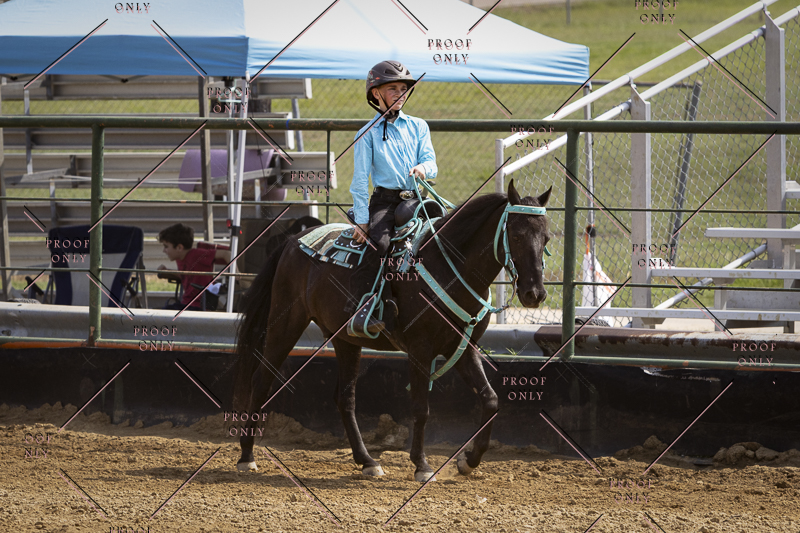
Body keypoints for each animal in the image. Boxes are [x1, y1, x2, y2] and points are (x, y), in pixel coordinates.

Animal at [232, 179, 552, 482]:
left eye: (547, 237)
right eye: (517, 235)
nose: (534, 293)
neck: (449, 267)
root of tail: (292, 241)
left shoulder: (462, 348)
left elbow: (490, 400)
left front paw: (468, 461)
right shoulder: (420, 349)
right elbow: (421, 408)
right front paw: (422, 466)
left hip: (345, 339)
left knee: (345, 398)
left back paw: (367, 461)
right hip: (285, 323)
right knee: (261, 381)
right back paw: (247, 456)